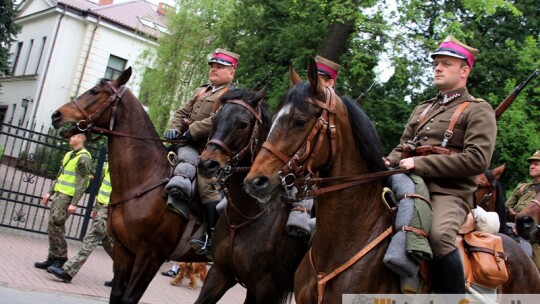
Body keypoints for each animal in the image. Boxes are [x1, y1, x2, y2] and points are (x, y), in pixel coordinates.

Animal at [50, 67, 209, 302]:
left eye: (95, 91)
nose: (57, 115)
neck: (144, 180)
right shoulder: (124, 251)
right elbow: (117, 293)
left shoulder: (150, 257)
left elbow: (129, 297)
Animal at [195, 86, 308, 302]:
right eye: (215, 119)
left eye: (243, 124)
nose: (207, 164)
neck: (246, 216)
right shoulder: (220, 273)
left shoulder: (267, 290)